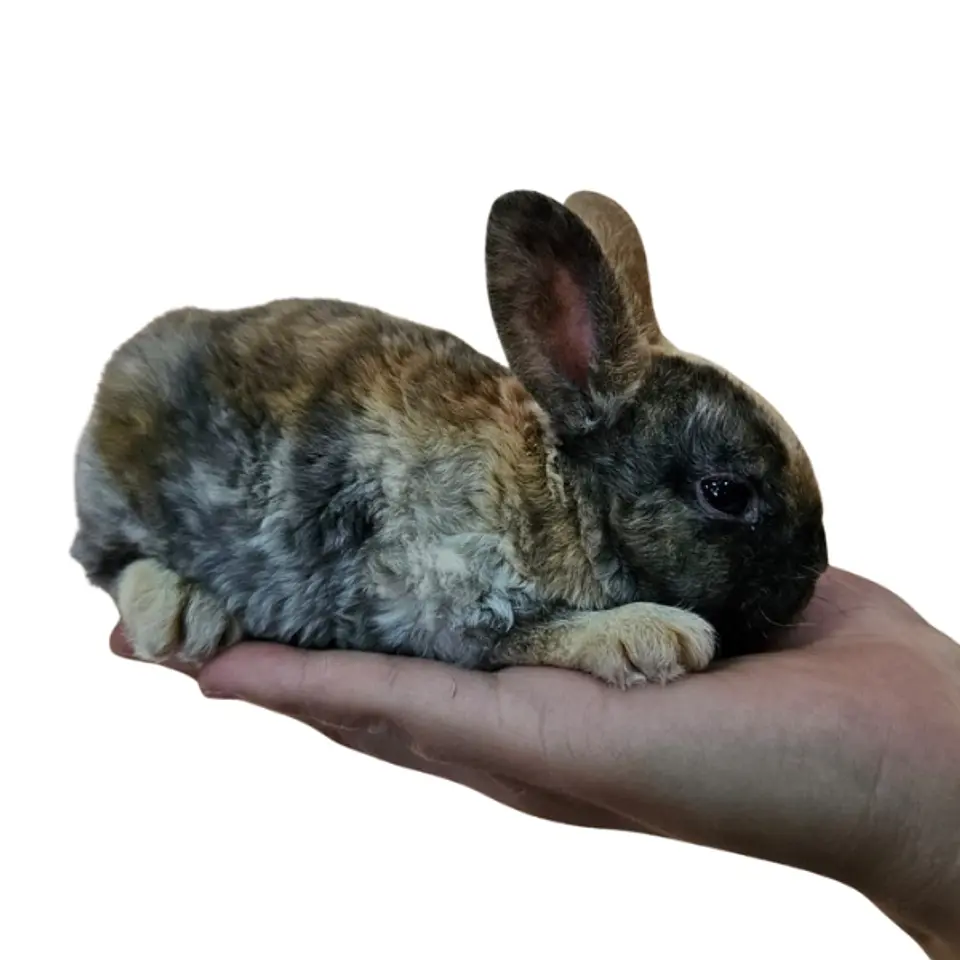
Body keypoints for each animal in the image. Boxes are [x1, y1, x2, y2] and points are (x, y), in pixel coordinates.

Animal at [70, 188, 827, 688]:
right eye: (725, 493)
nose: (810, 580)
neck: (563, 497)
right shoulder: (449, 600)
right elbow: (528, 634)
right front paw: (656, 636)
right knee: (103, 560)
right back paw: (181, 614)